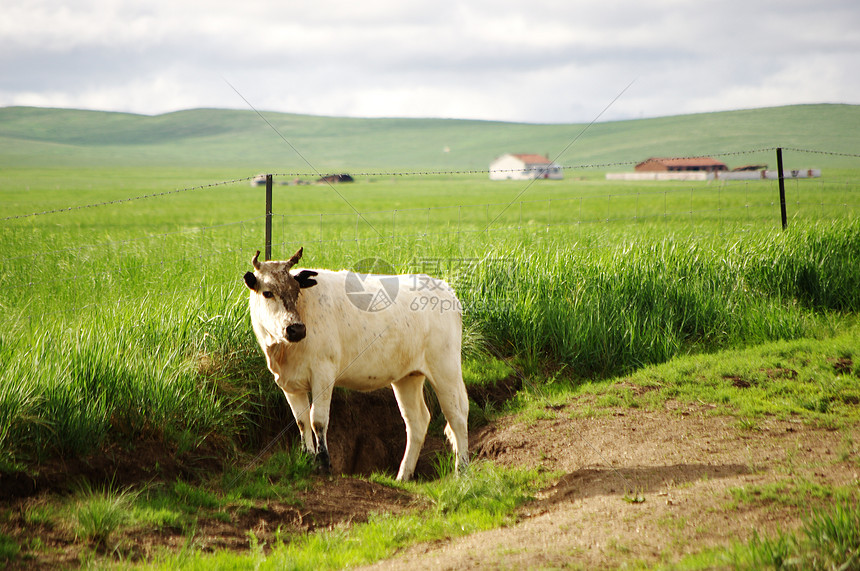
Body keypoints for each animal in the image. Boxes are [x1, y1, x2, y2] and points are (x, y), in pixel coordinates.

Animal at [242, 248, 470, 480]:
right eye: (267, 293)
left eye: (296, 291)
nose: (296, 329)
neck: (283, 352)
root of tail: (445, 288)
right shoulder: (289, 383)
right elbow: (302, 421)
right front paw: (308, 459)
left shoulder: (323, 372)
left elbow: (318, 419)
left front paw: (324, 465)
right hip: (407, 377)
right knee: (417, 421)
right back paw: (403, 476)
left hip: (445, 369)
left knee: (457, 416)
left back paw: (461, 471)